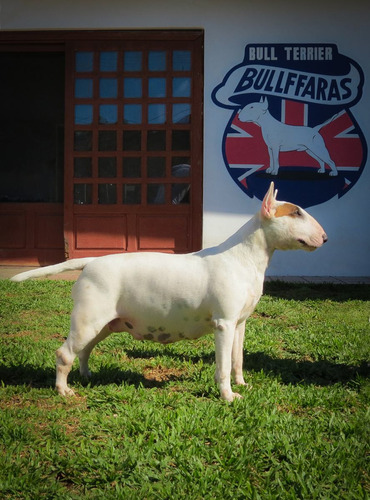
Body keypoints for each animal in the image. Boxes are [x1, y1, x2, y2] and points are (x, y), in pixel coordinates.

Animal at [10, 182, 326, 400]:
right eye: (297, 212)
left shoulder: (239, 323)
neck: (244, 257)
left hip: (105, 323)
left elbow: (237, 359)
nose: (324, 237)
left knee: (85, 349)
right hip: (89, 318)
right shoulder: (223, 324)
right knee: (65, 353)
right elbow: (223, 365)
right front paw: (228, 396)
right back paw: (63, 390)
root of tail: (90, 262)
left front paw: (242, 384)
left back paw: (86, 376)